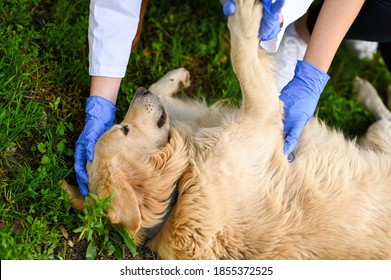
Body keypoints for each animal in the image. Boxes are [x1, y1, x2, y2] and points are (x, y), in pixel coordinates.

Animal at [63, 0, 391, 260]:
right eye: (125, 130)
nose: (139, 90)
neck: (178, 191)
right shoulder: (261, 114)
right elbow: (242, 57)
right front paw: (245, 16)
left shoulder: (204, 122)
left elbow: (169, 99)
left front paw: (172, 78)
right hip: (378, 135)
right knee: (385, 117)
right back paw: (365, 90)